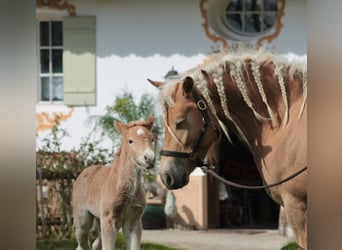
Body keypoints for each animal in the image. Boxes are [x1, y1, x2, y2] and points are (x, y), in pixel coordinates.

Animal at [74, 115, 156, 250]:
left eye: (152, 139)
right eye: (130, 141)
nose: (149, 158)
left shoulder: (134, 222)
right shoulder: (109, 220)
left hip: (99, 220)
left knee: (96, 244)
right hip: (83, 221)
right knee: (83, 244)